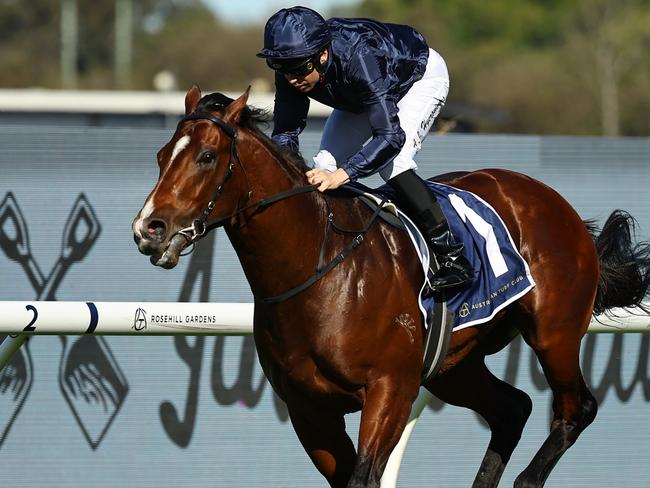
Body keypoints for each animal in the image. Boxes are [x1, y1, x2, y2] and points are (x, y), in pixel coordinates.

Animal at [130, 86, 648, 486]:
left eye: (206, 157)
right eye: (160, 156)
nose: (148, 228)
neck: (316, 269)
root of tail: (555, 202)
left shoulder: (390, 389)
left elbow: (365, 476)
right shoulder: (308, 409)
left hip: (553, 332)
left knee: (576, 408)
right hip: (453, 366)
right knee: (512, 408)